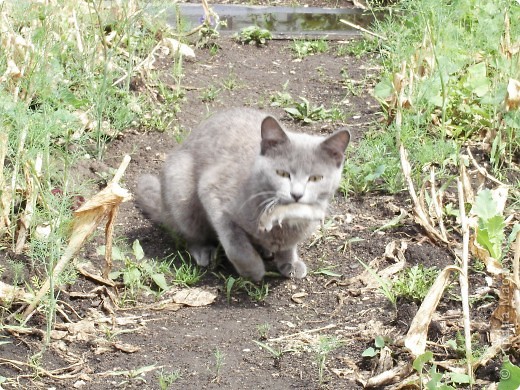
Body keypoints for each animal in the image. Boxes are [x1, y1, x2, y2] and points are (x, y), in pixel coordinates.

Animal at [136, 108, 352, 282]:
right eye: (282, 174)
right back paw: (204, 252)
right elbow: (236, 246)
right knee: (190, 233)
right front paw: (253, 271)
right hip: (181, 190)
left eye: (316, 178)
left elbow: (289, 245)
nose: (297, 194)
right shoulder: (213, 193)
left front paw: (290, 264)